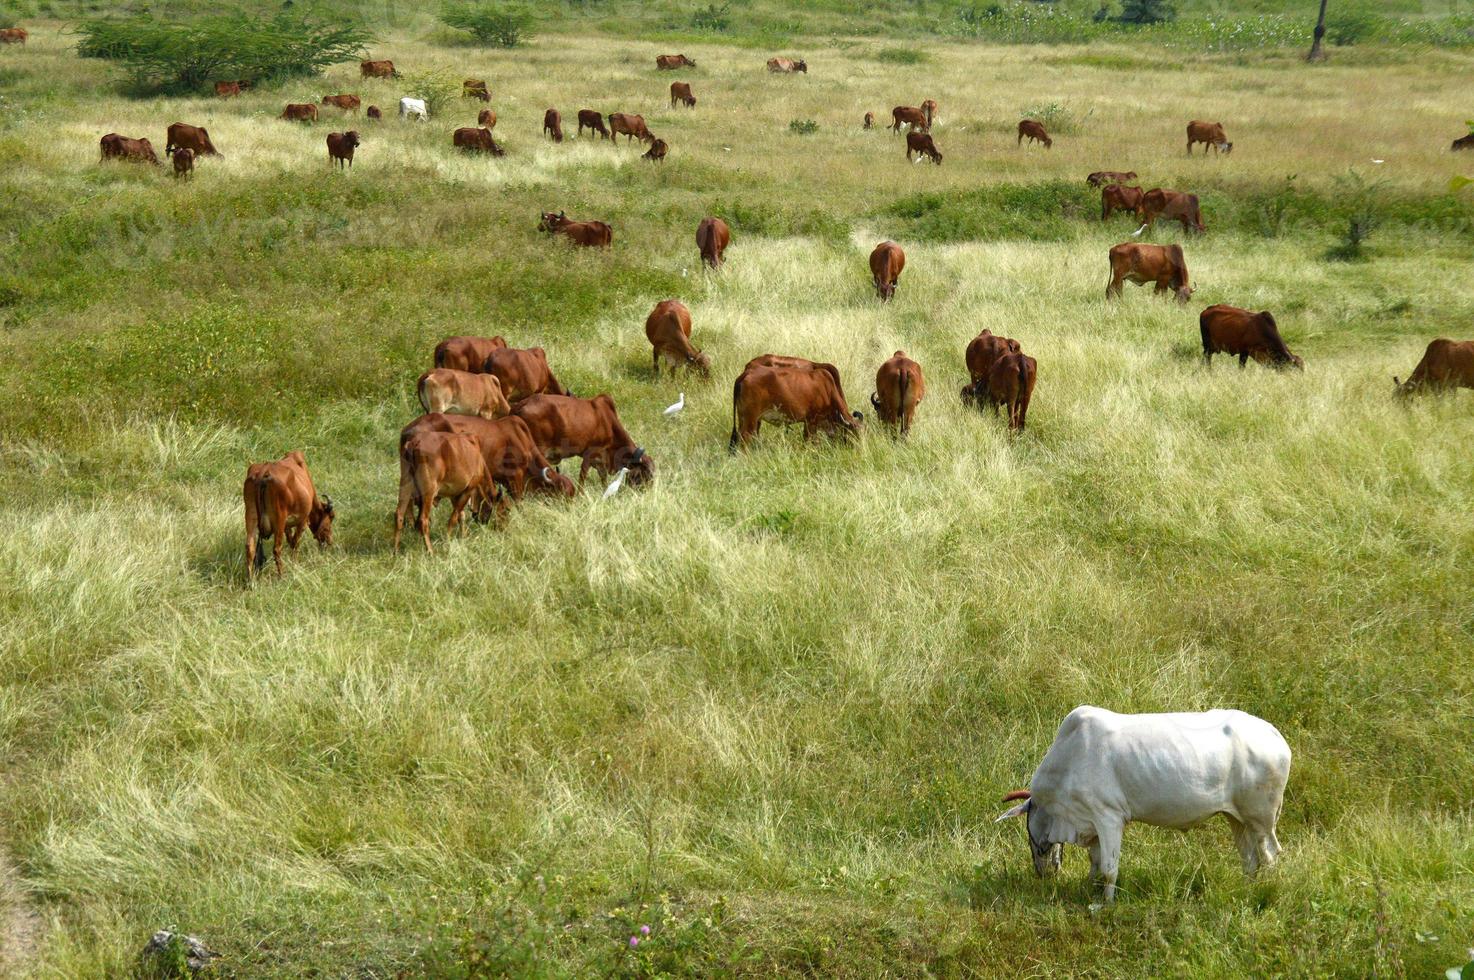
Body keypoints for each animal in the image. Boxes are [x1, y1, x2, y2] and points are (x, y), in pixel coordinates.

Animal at [243, 448, 333, 577]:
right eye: (331, 517)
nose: (330, 541)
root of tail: (264, 471)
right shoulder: (302, 521)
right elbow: (295, 543)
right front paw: (295, 565)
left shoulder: (287, 525)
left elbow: (291, 540)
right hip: (279, 520)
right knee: (276, 549)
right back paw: (281, 576)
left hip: (251, 516)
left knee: (250, 548)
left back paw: (251, 579)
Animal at [510, 392, 654, 486]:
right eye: (645, 474)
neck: (609, 423)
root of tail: (520, 405)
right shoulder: (589, 454)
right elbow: (583, 476)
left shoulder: (600, 460)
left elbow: (603, 478)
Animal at [728, 361, 860, 448]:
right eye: (854, 433)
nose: (859, 449)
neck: (828, 390)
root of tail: (747, 373)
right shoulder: (811, 421)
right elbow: (810, 441)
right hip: (751, 419)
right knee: (745, 438)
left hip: (743, 417)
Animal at [990, 704, 1291, 901]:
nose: (1043, 873)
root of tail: (1275, 736)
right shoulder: (1093, 824)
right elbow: (1095, 864)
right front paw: (1088, 887)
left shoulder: (1108, 817)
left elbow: (1109, 869)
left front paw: (1104, 904)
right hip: (1236, 818)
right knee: (1250, 859)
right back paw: (1246, 889)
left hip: (1261, 818)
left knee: (1270, 854)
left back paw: (1264, 891)